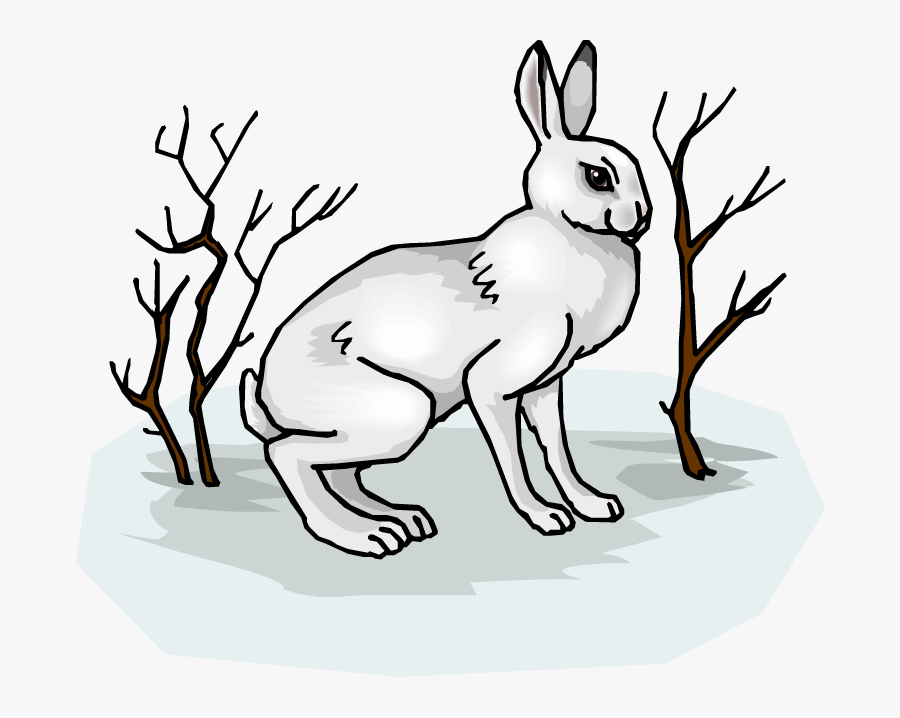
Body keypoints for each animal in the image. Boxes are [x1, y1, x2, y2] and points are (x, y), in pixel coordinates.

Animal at [241, 40, 652, 558]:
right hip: (399, 410)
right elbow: (513, 454)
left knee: (340, 472)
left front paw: (594, 505)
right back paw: (366, 536)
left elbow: (557, 448)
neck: (569, 233)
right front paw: (546, 517)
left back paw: (401, 520)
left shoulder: (546, 385)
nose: (642, 216)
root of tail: (267, 396)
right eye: (597, 176)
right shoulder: (492, 385)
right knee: (288, 454)